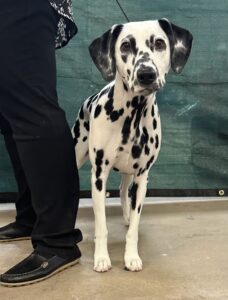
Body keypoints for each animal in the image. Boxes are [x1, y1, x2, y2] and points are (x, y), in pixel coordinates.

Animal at [72, 18, 192, 272]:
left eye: (159, 43)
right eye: (125, 45)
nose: (146, 74)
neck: (132, 115)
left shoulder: (142, 177)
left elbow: (135, 227)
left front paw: (131, 256)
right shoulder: (99, 176)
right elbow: (101, 225)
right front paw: (101, 258)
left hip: (129, 173)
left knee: (122, 190)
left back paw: (126, 217)